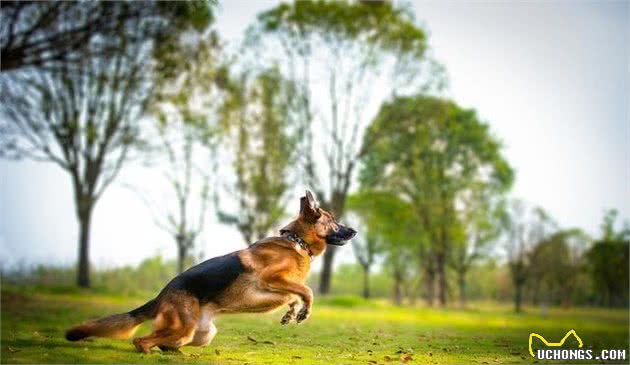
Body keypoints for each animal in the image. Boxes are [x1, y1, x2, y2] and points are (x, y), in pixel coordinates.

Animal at [68, 191, 358, 352]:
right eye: (332, 220)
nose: (355, 231)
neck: (296, 242)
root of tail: (161, 296)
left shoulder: (280, 285)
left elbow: (292, 294)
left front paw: (291, 312)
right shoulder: (272, 278)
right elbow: (305, 290)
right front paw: (302, 311)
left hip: (203, 334)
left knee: (161, 341)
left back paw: (172, 352)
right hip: (184, 328)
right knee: (141, 341)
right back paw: (153, 352)